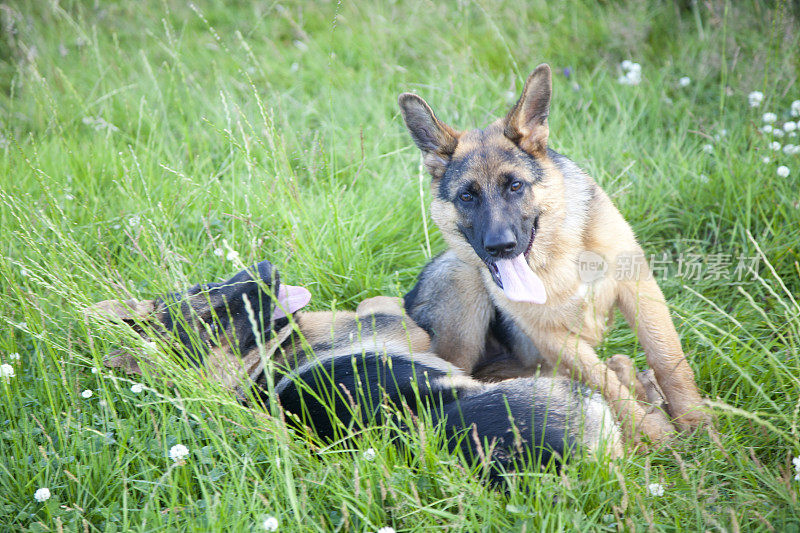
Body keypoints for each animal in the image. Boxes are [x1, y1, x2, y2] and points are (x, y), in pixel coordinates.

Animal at [89, 260, 624, 480]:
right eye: (212, 318)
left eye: (207, 287)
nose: (266, 266)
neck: (263, 370)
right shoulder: (414, 333)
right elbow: (397, 304)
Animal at [398, 63, 708, 444]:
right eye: (466, 197)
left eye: (515, 186)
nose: (500, 246)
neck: (555, 256)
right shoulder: (555, 338)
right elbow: (607, 385)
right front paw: (653, 434)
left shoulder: (638, 288)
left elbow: (668, 359)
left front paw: (698, 424)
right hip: (460, 276)